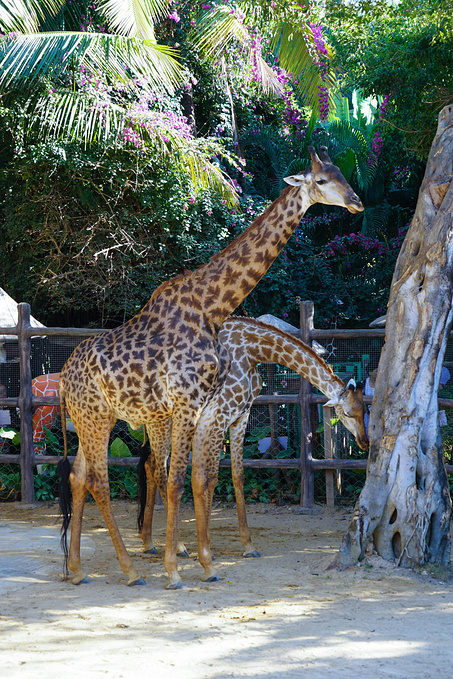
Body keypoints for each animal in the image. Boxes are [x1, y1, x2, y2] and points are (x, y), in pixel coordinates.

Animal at [138, 316, 368, 580]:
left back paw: (149, 542)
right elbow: (207, 479)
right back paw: (177, 547)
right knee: (160, 471)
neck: (250, 351)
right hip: (162, 422)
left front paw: (246, 545)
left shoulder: (240, 415)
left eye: (365, 409)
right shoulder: (218, 416)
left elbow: (235, 475)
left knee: (150, 465)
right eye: (348, 413)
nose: (365, 441)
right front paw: (206, 553)